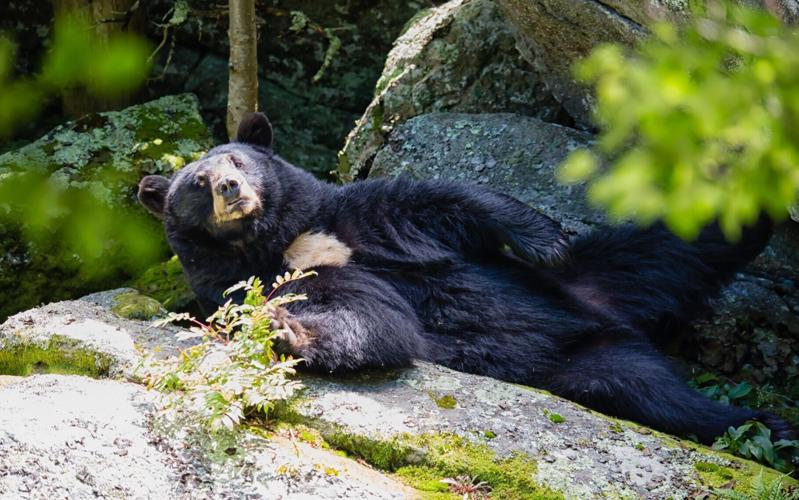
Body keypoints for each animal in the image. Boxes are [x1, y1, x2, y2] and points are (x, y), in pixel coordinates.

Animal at [138, 112, 793, 443]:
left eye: (238, 159)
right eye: (196, 184)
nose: (230, 187)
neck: (287, 238)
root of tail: (608, 318)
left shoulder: (359, 216)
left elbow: (449, 200)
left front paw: (545, 239)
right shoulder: (288, 277)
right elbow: (371, 317)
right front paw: (286, 330)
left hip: (607, 264)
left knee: (690, 232)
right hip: (594, 366)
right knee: (661, 393)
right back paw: (766, 423)